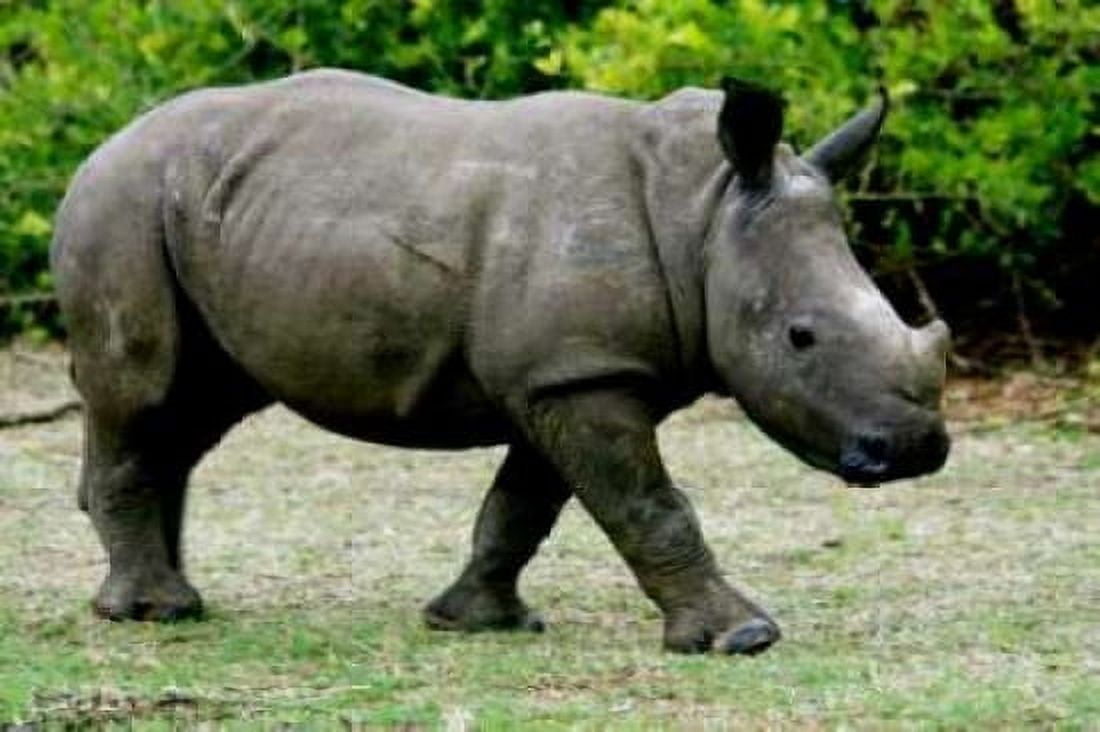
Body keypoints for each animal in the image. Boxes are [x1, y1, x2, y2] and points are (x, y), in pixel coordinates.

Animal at [51, 69, 950, 655]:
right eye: (801, 337)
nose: (916, 450)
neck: (705, 210)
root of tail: (100, 147)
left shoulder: (562, 374)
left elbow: (522, 507)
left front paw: (475, 622)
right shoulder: (581, 374)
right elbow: (648, 505)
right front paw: (744, 637)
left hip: (211, 213)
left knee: (193, 407)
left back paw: (166, 598)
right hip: (119, 204)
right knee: (143, 391)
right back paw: (157, 612)